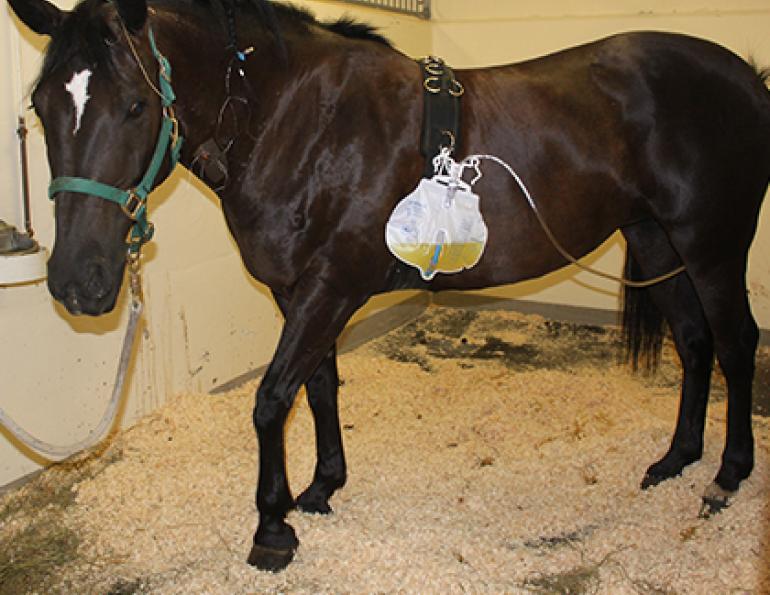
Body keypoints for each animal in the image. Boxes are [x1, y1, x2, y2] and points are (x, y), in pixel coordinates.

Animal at [8, 0, 770, 571]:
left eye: (136, 106)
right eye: (42, 106)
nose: (78, 280)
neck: (299, 119)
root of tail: (746, 77)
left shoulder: (333, 284)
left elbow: (271, 398)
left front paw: (272, 529)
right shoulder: (299, 291)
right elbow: (317, 385)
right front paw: (320, 487)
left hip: (711, 246)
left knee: (735, 344)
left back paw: (727, 474)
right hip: (656, 238)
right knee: (695, 343)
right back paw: (675, 459)